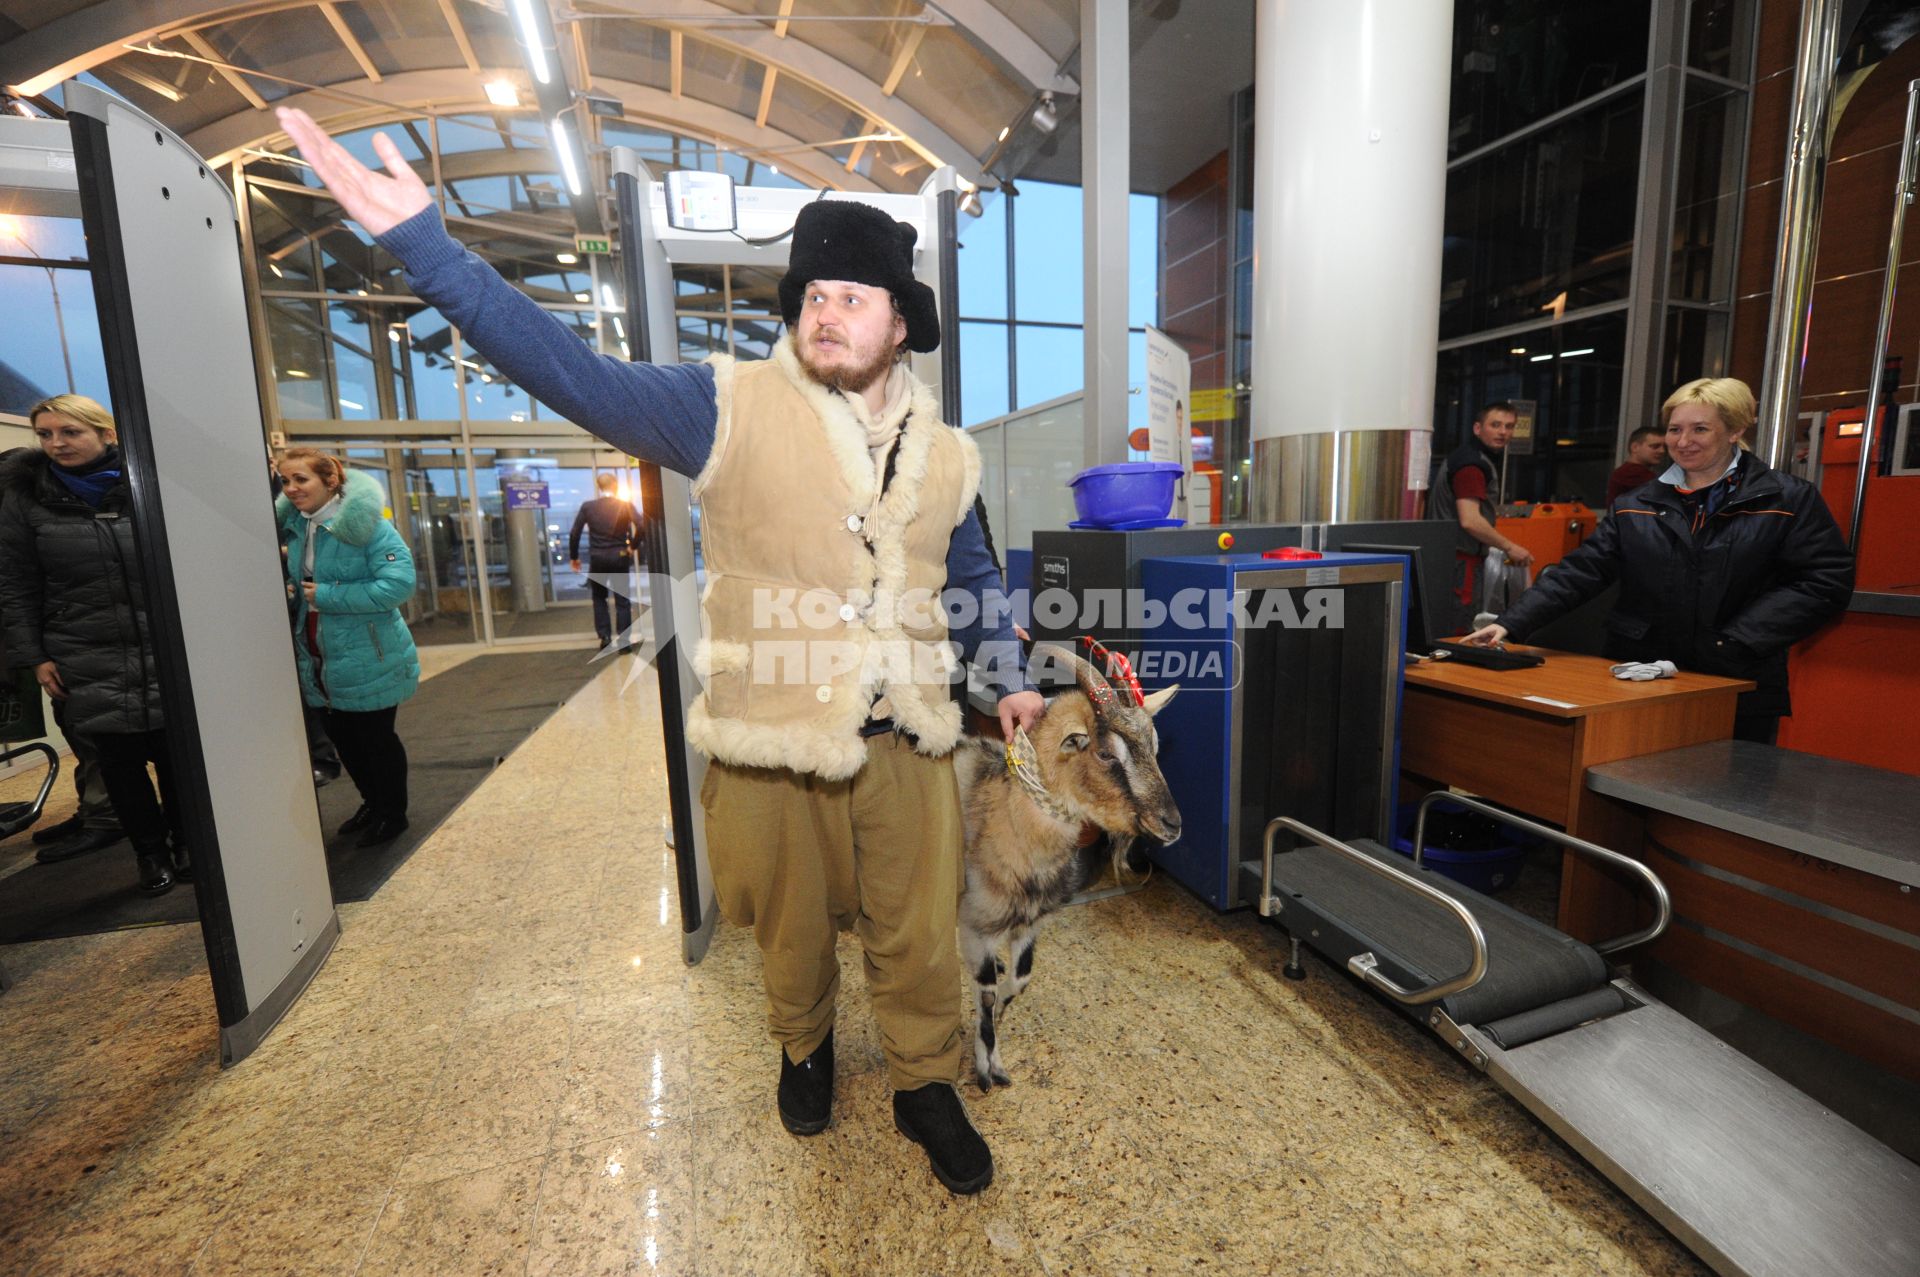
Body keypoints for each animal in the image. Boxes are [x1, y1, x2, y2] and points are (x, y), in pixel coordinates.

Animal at [952, 649, 1175, 1083]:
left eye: (1155, 747)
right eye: (1106, 753)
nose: (1172, 823)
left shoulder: (1031, 922)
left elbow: (1020, 981)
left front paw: (998, 1040)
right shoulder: (976, 924)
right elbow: (986, 993)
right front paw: (987, 1067)